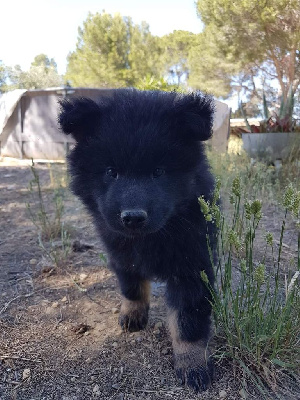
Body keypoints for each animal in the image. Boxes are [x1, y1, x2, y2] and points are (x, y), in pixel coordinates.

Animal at [57, 89, 216, 392]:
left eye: (158, 172)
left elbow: (188, 319)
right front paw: (132, 315)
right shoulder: (120, 252)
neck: (151, 237)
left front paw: (193, 365)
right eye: (111, 171)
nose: (132, 217)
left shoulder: (192, 263)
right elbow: (132, 286)